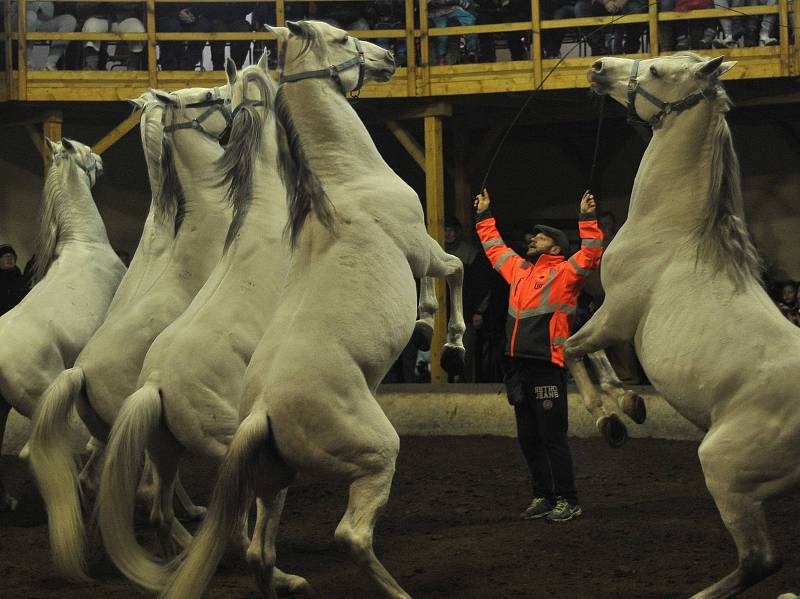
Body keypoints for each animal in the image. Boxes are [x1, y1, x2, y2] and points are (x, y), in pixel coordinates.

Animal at [28, 84, 233, 580]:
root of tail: (79, 373)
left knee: (107, 482)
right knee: (141, 490)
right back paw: (187, 550)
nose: (229, 93)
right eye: (203, 97)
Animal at [96, 55, 306, 596]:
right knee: (234, 523)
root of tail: (154, 383)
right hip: (236, 444)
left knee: (159, 512)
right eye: (206, 98)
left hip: (166, 450)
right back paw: (281, 575)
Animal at [160, 19, 466, 599]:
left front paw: (423, 324)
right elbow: (455, 268)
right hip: (374, 456)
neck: (349, 181)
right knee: (351, 535)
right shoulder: (421, 248)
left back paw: (286, 581)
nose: (387, 57)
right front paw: (445, 339)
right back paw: (395, 590)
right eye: (343, 37)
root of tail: (261, 410)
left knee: (259, 551)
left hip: (274, 480)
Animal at [576, 51, 800, 599]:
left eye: (657, 71)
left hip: (724, 470)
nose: (598, 66)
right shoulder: (611, 320)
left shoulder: (614, 316)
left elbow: (570, 344)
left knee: (760, 559)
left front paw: (610, 413)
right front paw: (628, 403)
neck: (672, 231)